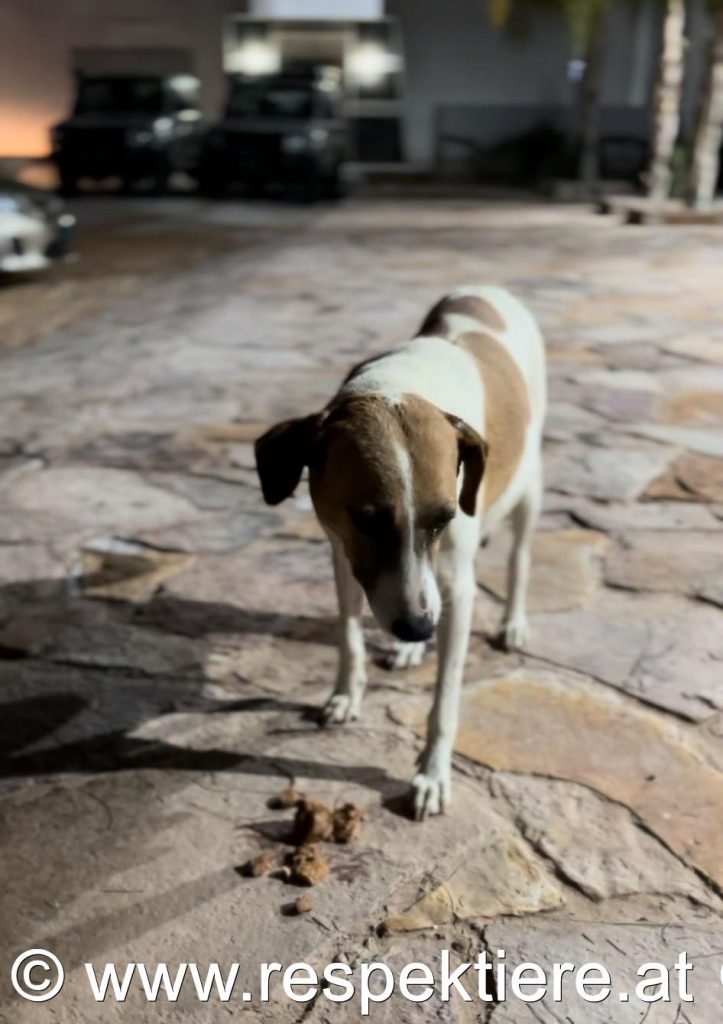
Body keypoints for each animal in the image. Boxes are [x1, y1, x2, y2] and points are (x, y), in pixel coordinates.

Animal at [256, 286, 544, 815]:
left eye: (444, 519)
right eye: (367, 518)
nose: (417, 627)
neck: (401, 384)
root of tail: (489, 289)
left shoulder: (457, 589)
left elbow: (445, 697)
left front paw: (432, 773)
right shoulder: (344, 556)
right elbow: (349, 636)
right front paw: (346, 694)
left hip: (529, 485)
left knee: (520, 557)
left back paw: (511, 621)